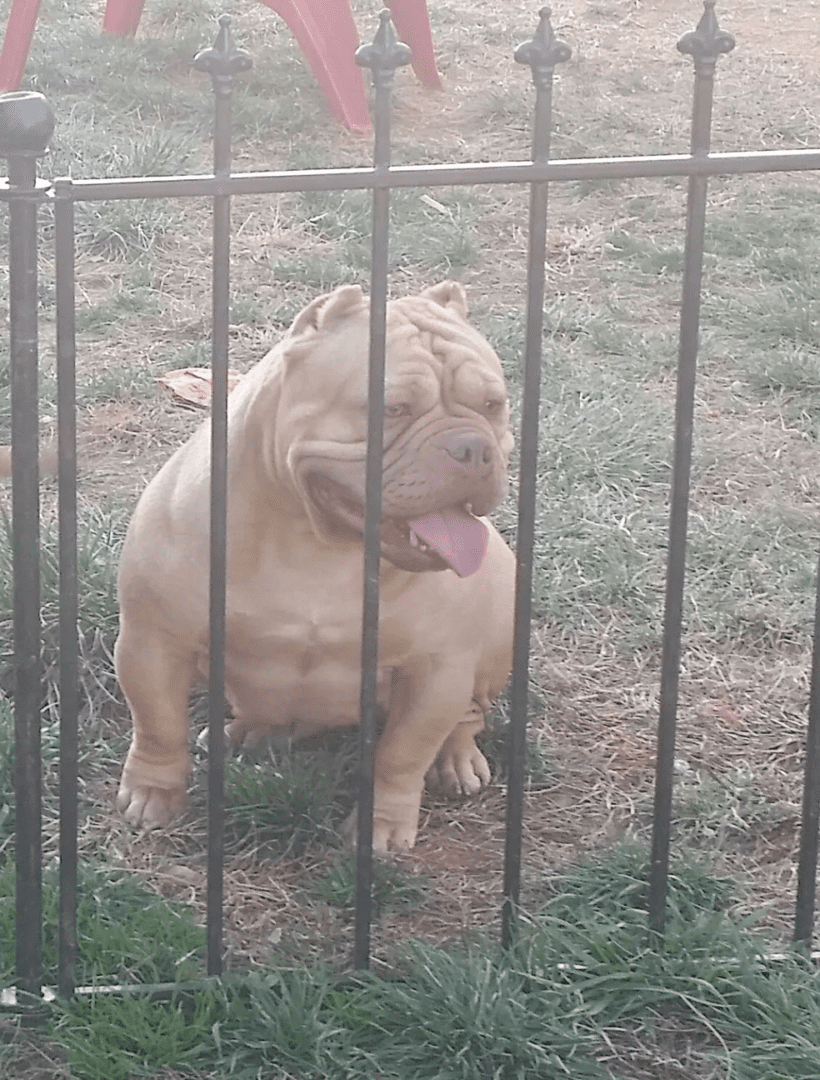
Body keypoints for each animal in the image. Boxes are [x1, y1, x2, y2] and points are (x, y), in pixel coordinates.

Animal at [113, 282, 514, 855]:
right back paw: (246, 731)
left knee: (466, 717)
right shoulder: (152, 642)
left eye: (493, 405)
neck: (318, 545)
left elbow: (402, 755)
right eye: (392, 408)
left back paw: (456, 759)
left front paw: (382, 826)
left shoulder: (435, 671)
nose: (475, 447)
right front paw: (152, 792)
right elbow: (157, 725)